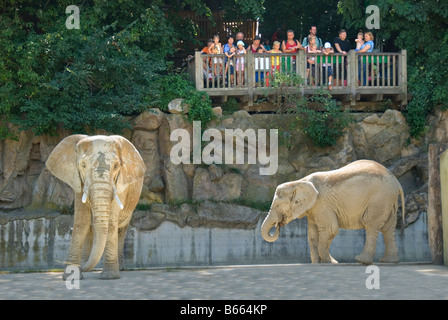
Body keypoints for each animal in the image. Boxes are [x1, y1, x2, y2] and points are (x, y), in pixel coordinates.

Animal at [260, 160, 404, 264]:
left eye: (278, 205)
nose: (277, 225)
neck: (299, 182)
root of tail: (397, 183)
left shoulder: (322, 204)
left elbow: (330, 229)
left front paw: (331, 262)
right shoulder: (313, 209)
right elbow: (312, 234)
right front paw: (317, 263)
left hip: (379, 198)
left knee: (371, 224)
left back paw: (361, 261)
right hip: (388, 200)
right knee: (388, 227)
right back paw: (389, 261)